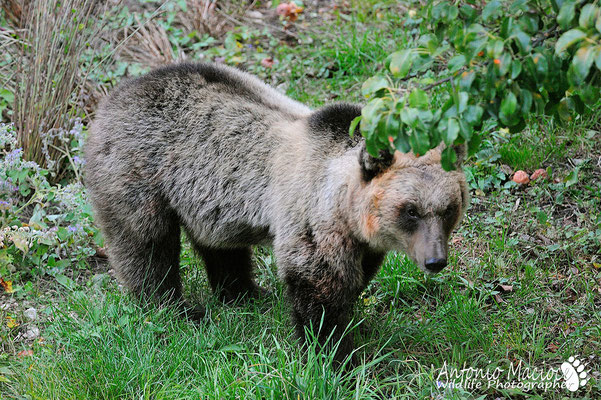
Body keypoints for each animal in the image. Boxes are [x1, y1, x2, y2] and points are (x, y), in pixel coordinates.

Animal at [85, 61, 468, 362]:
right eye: (411, 210)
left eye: (449, 209)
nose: (435, 260)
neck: (344, 207)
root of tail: (114, 95)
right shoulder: (308, 217)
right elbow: (317, 286)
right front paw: (334, 353)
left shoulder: (360, 240)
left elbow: (357, 276)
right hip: (140, 172)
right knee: (146, 244)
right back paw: (173, 308)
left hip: (206, 198)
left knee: (221, 246)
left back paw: (245, 293)